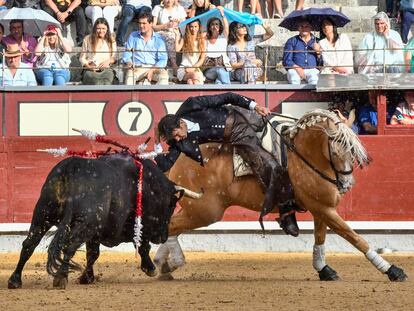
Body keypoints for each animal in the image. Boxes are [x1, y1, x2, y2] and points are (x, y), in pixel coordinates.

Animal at [7, 154, 192, 290]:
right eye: (171, 206)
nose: (163, 237)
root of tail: (72, 169)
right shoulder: (137, 226)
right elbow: (142, 246)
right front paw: (150, 268)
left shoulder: (95, 232)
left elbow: (92, 253)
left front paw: (87, 277)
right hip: (82, 223)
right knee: (69, 246)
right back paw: (60, 278)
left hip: (42, 214)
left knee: (29, 243)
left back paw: (15, 280)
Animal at [154, 109, 408, 282]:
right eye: (337, 150)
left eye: (354, 150)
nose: (346, 185)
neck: (304, 155)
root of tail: (177, 159)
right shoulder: (324, 208)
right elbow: (355, 238)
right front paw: (392, 270)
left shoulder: (321, 208)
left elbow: (320, 238)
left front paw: (324, 269)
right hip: (205, 211)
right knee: (171, 226)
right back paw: (164, 263)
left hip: (196, 209)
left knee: (171, 226)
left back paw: (164, 265)